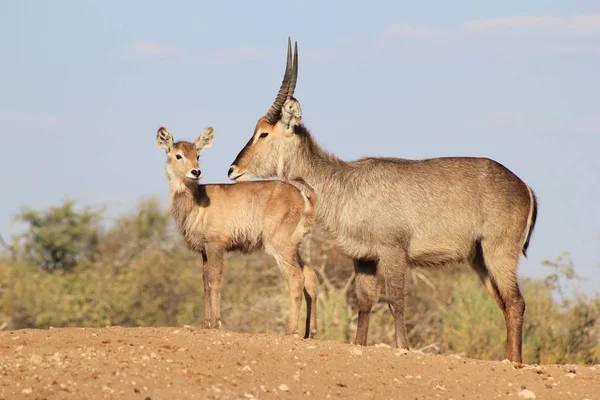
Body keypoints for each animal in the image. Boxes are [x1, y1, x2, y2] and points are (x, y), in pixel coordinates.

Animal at [158, 126, 318, 338]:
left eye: (197, 155)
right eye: (178, 155)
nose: (196, 171)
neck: (197, 202)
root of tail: (304, 197)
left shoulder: (216, 245)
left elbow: (215, 279)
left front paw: (215, 323)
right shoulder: (204, 250)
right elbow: (205, 281)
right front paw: (206, 323)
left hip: (280, 245)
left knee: (296, 278)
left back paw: (291, 330)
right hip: (294, 246)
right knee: (310, 275)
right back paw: (311, 332)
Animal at [230, 38, 540, 362]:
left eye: (263, 133)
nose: (233, 169)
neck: (343, 184)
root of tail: (524, 186)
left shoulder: (393, 252)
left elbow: (395, 300)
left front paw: (403, 348)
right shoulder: (363, 257)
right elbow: (365, 301)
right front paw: (359, 345)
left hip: (498, 251)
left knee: (515, 301)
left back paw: (515, 363)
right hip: (479, 258)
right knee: (505, 303)